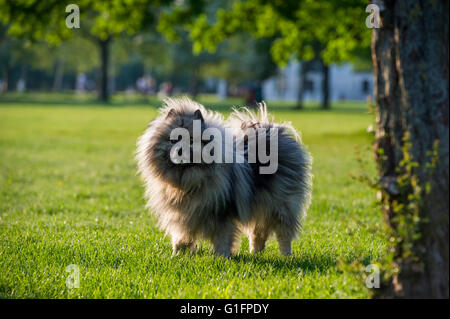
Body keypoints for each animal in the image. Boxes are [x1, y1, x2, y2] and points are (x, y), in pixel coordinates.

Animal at [136, 97, 312, 258]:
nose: (179, 150)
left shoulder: (221, 213)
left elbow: (222, 238)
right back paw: (255, 253)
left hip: (280, 206)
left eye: (191, 140)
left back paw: (286, 256)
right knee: (258, 234)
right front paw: (178, 255)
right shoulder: (182, 215)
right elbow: (181, 238)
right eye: (173, 140)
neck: (188, 182)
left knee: (283, 235)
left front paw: (222, 257)